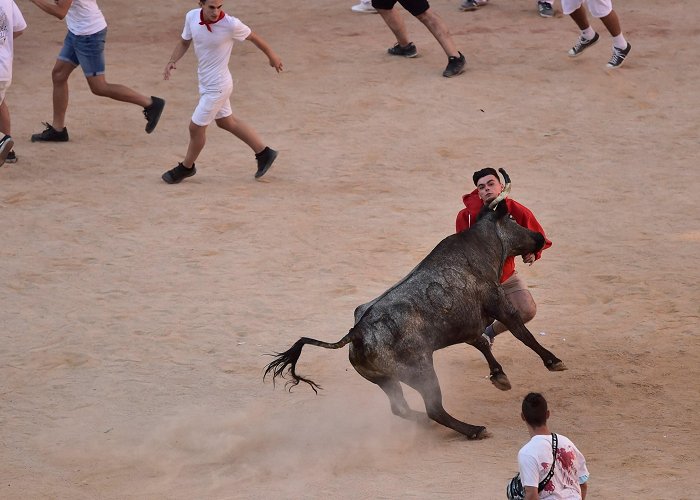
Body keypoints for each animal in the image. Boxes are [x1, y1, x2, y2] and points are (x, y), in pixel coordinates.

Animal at [266, 170, 568, 440]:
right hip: (422, 372)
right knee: (434, 408)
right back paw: (473, 429)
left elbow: (482, 342)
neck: (480, 246)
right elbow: (521, 331)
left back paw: (426, 423)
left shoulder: (468, 324)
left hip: (385, 380)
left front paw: (499, 376)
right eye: (512, 218)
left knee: (400, 407)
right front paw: (553, 361)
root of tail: (356, 333)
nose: (540, 238)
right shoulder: (498, 303)